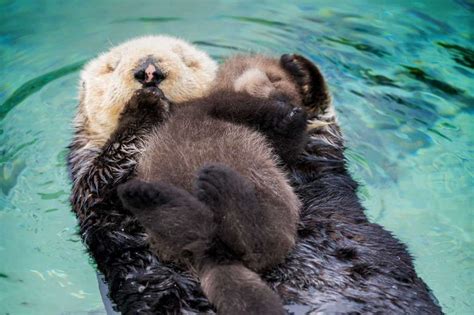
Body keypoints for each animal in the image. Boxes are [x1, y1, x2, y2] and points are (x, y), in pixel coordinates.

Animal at [68, 35, 442, 314]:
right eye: (111, 67)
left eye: (186, 60)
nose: (148, 72)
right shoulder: (88, 180)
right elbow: (100, 180)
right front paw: (142, 108)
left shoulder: (310, 152)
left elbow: (314, 127)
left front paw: (301, 73)